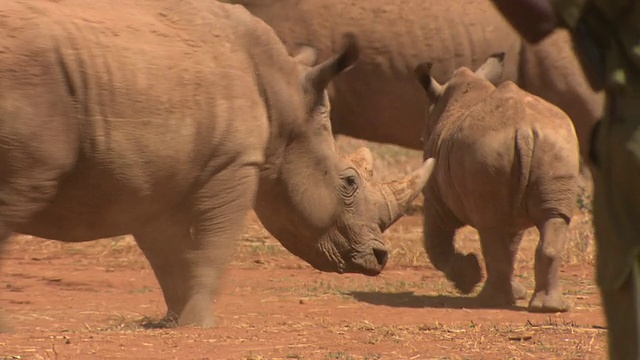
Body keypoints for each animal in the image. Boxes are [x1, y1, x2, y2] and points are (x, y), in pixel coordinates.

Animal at [0, 0, 436, 330]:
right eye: (348, 182)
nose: (381, 257)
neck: (286, 101)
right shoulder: (233, 162)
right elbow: (214, 246)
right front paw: (199, 324)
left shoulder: (156, 178)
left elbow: (171, 255)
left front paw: (175, 321)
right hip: (33, 80)